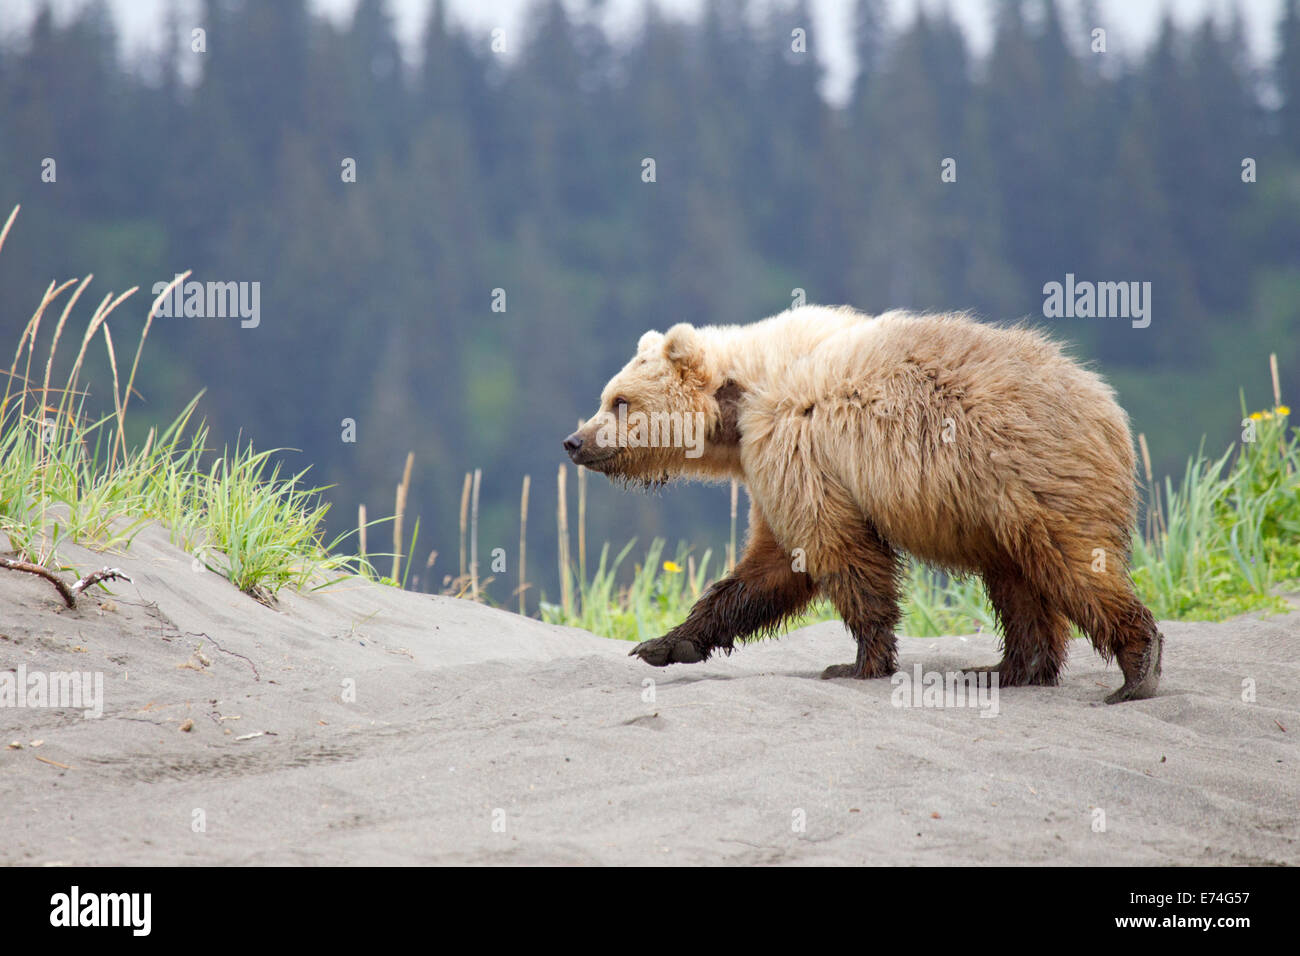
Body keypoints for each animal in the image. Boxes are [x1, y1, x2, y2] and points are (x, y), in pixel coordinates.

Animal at [562, 305, 1163, 703]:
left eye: (619, 401)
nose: (574, 441)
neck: (741, 399)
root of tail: (1109, 407)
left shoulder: (799, 444)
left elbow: (836, 552)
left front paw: (857, 662)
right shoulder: (776, 467)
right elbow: (769, 567)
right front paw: (664, 644)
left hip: (1032, 478)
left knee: (1074, 566)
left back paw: (1137, 667)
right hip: (996, 509)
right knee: (1018, 583)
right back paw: (1006, 668)